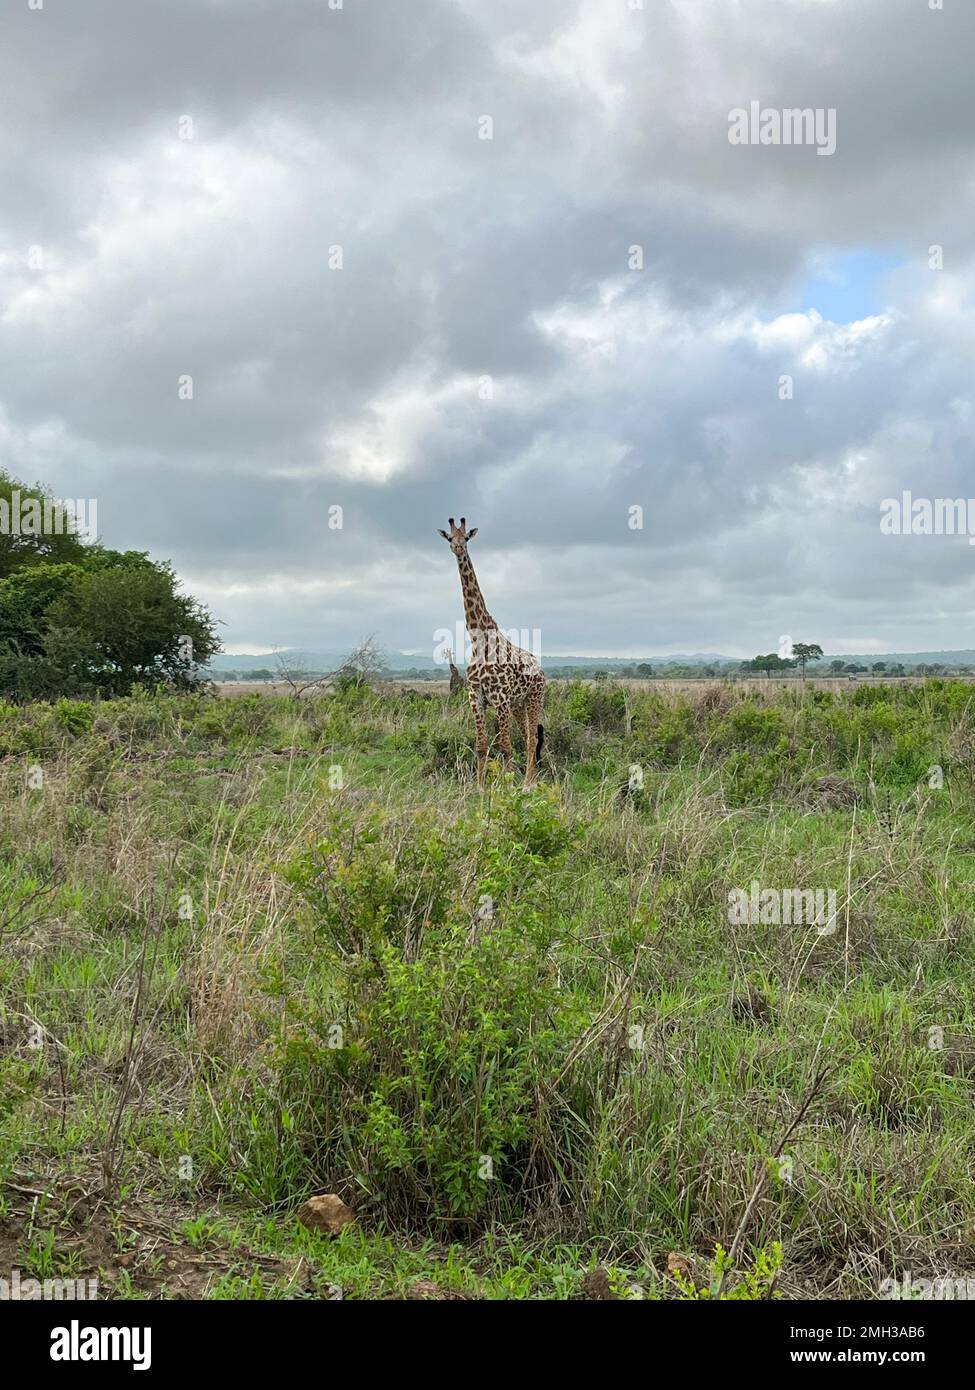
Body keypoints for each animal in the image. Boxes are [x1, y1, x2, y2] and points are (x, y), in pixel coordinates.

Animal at [438, 517, 545, 789]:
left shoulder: (499, 698)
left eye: (466, 538)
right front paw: (480, 788)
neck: (478, 638)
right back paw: (530, 779)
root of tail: (540, 667)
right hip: (518, 703)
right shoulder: (476, 697)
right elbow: (481, 745)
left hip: (534, 698)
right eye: (449, 538)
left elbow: (505, 746)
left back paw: (529, 784)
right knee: (527, 736)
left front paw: (507, 785)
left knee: (532, 738)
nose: (457, 548)